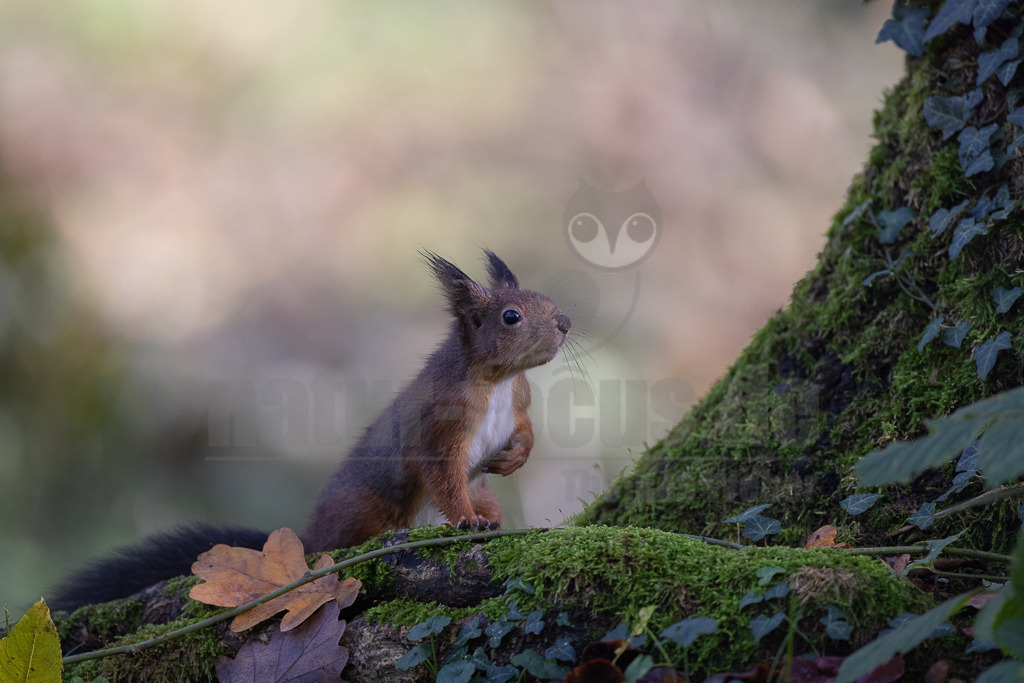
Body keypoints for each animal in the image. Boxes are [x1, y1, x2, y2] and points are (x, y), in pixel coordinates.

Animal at [51, 250, 571, 611]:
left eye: (548, 299)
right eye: (511, 316)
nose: (566, 321)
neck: (499, 381)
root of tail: (310, 540)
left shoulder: (518, 404)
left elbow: (525, 430)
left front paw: (515, 457)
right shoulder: (439, 425)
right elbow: (441, 475)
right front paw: (466, 521)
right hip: (366, 510)